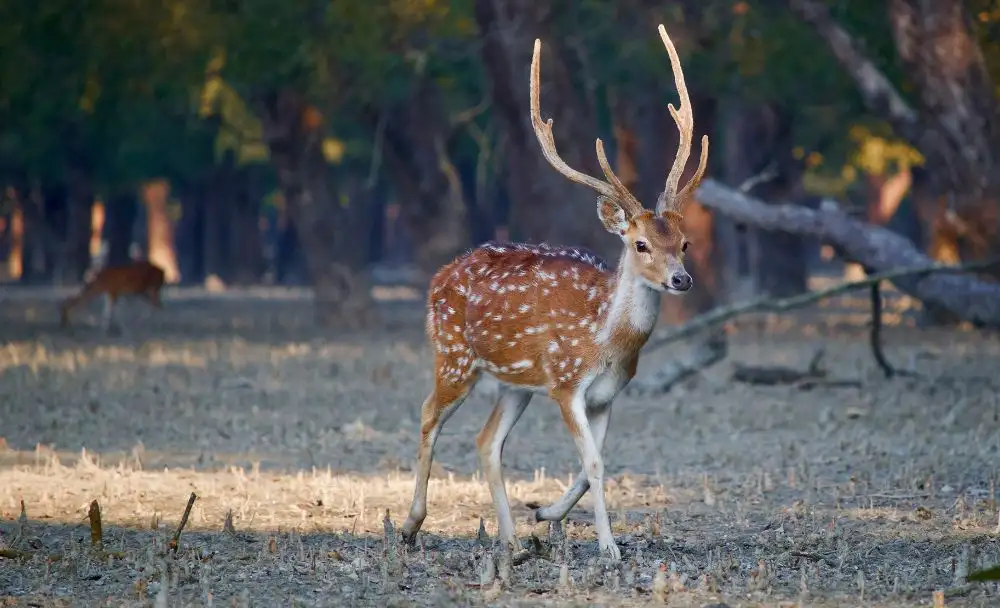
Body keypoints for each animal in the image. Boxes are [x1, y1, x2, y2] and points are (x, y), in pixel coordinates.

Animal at [400, 24, 709, 563]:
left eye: (685, 242)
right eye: (641, 243)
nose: (681, 279)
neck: (605, 341)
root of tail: (439, 277)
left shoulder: (607, 394)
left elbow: (596, 463)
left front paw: (545, 515)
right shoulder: (566, 384)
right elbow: (595, 465)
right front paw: (609, 548)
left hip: (515, 383)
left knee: (486, 440)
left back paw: (510, 540)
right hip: (455, 356)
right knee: (428, 415)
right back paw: (410, 525)